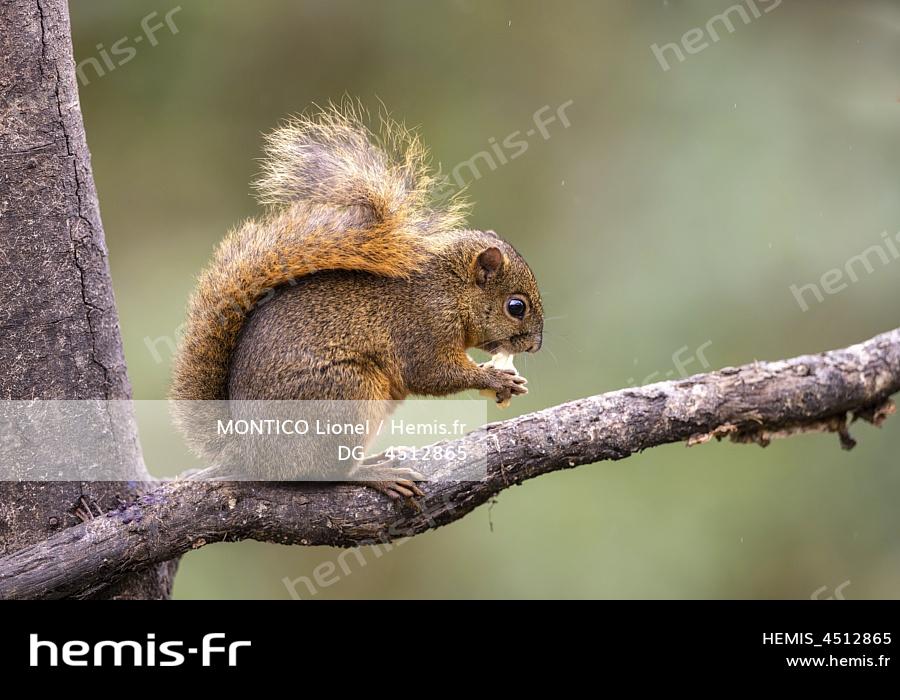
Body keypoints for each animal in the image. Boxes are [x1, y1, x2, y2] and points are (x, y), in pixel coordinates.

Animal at [172, 104, 544, 498]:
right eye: (516, 307)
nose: (535, 345)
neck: (450, 289)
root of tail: (248, 450)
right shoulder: (423, 327)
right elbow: (432, 374)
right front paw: (496, 379)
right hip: (344, 396)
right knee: (324, 473)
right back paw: (374, 472)